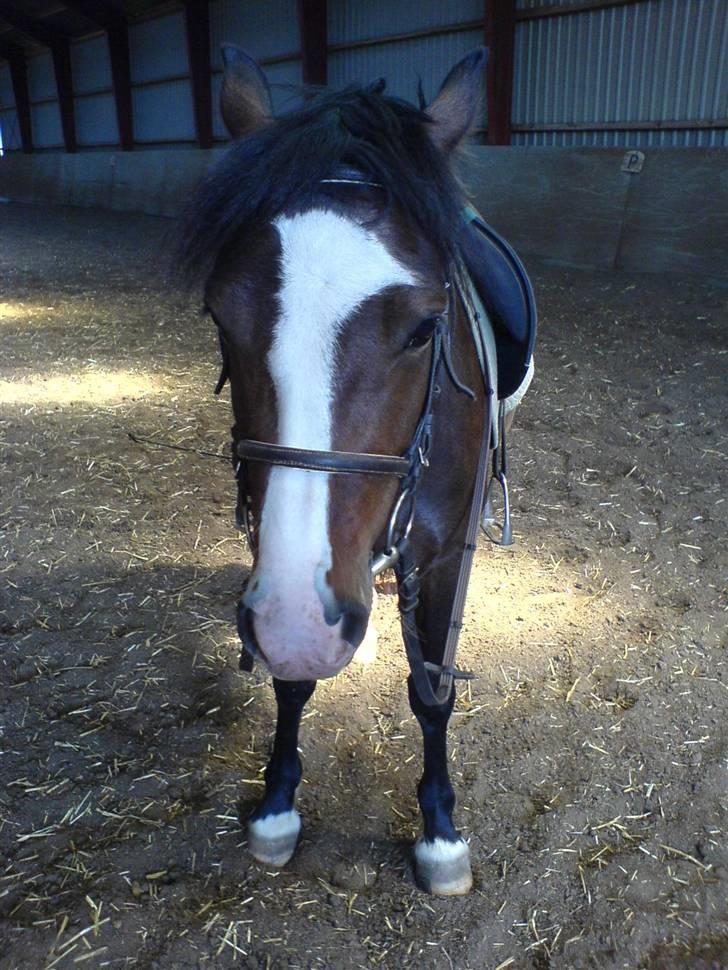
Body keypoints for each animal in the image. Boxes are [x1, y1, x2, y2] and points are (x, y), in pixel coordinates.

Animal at [174, 45, 516, 897]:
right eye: (220, 315)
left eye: (426, 326)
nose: (305, 625)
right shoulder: (279, 570)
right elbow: (290, 679)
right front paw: (276, 805)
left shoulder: (445, 555)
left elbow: (432, 691)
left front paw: (439, 831)